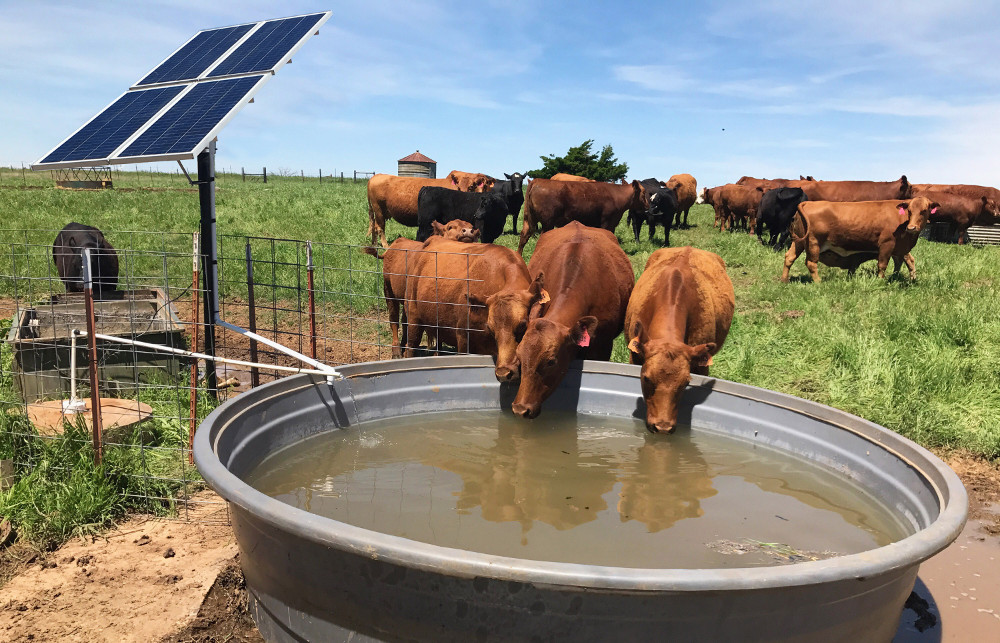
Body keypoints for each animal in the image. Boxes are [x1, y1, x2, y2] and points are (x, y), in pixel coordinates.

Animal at [366, 170, 494, 248]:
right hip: (379, 210)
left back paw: (374, 244)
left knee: (374, 226)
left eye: (472, 186)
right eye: (459, 186)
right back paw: (385, 246)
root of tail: (376, 176)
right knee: (380, 228)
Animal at [400, 240, 548, 382]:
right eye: (490, 328)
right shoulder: (463, 337)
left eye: (523, 325)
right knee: (410, 346)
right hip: (413, 318)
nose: (503, 373)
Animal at [780, 195, 936, 284]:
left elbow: (904, 261)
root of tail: (809, 203)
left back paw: (784, 280)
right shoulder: (887, 244)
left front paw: (902, 278)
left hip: (799, 241)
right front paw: (880, 281)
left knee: (789, 257)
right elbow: (883, 265)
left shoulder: (899, 248)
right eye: (909, 210)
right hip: (813, 242)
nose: (912, 227)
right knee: (811, 263)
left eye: (924, 210)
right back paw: (819, 282)